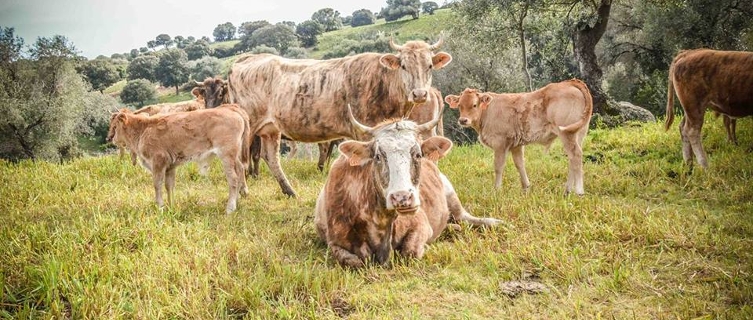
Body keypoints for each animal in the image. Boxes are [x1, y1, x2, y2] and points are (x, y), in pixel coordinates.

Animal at [106, 105, 253, 214]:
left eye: (115, 126)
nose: (109, 138)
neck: (144, 129)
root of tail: (230, 108)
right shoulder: (170, 166)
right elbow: (169, 186)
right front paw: (171, 206)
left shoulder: (158, 162)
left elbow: (157, 184)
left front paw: (160, 207)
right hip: (234, 156)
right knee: (240, 170)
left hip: (226, 155)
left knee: (233, 179)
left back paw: (230, 208)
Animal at [229, 38, 452, 196]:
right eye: (404, 66)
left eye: (429, 66)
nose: (420, 94)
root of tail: (248, 58)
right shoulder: (363, 132)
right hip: (248, 126)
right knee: (240, 159)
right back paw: (244, 191)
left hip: (270, 128)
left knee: (271, 157)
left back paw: (290, 191)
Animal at [314, 105, 502, 268]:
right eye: (377, 156)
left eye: (418, 154)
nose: (402, 197)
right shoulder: (335, 242)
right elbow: (355, 261)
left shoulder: (421, 224)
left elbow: (410, 252)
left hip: (450, 193)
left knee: (465, 218)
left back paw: (493, 222)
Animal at [440, 80, 592, 195]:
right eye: (460, 105)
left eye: (474, 104)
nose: (463, 120)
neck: (487, 112)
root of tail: (570, 82)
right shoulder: (516, 144)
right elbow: (520, 164)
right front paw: (526, 188)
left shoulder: (500, 143)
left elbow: (498, 166)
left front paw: (496, 190)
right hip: (578, 133)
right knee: (573, 158)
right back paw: (567, 191)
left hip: (567, 133)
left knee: (575, 155)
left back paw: (578, 191)